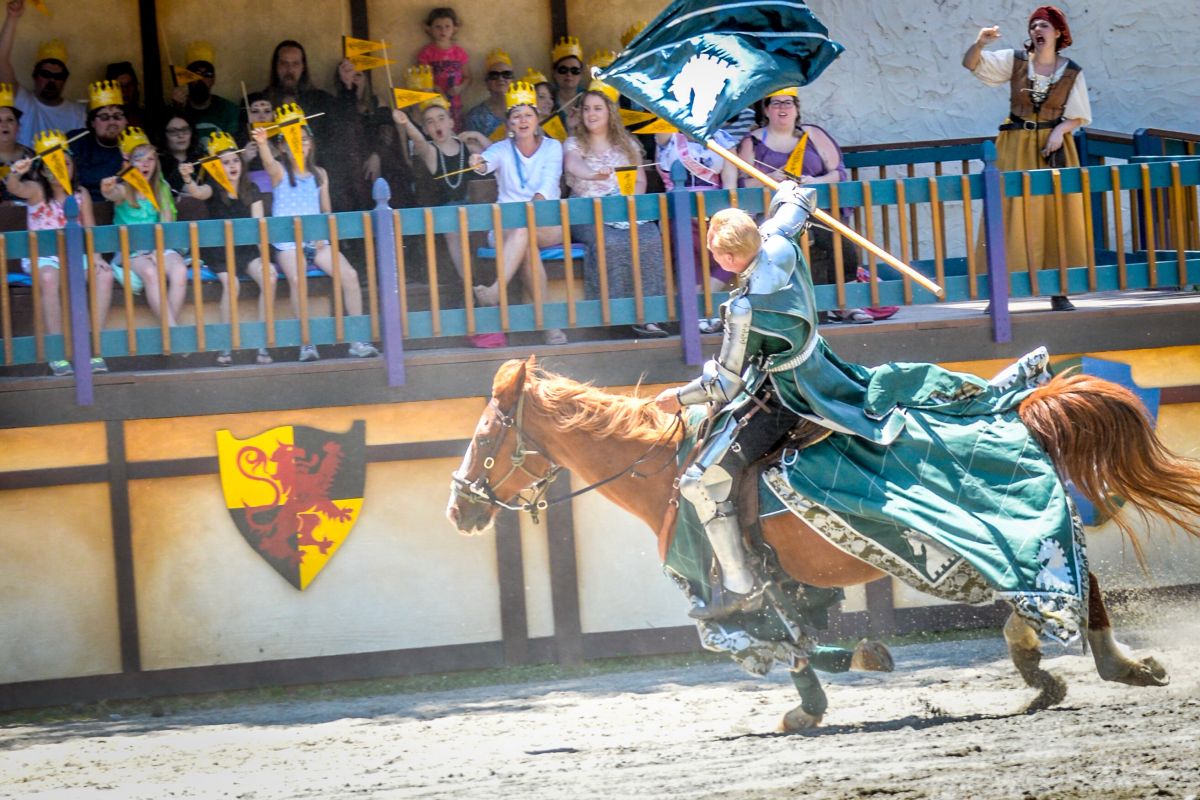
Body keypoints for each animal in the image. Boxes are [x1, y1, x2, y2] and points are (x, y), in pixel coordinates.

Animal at [448, 357, 1200, 734]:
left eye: (485, 437)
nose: (458, 507)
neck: (662, 474)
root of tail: (1020, 409)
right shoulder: (784, 588)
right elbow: (797, 641)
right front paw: (824, 691)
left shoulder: (734, 597)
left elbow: (775, 643)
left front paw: (833, 684)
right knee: (1058, 591)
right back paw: (1051, 670)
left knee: (1066, 585)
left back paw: (1111, 665)